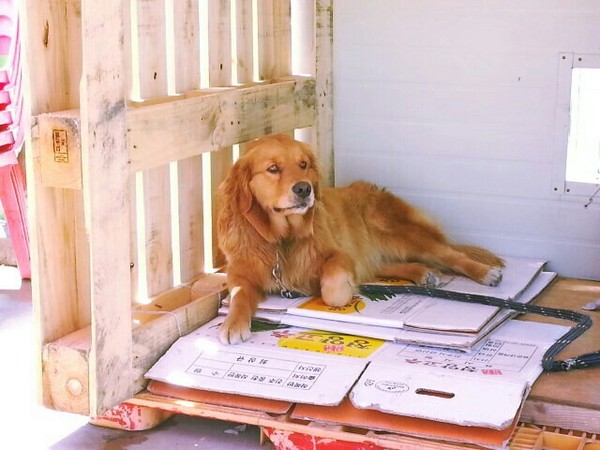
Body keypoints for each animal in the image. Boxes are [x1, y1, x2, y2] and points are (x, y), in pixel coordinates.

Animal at [217, 134, 504, 344]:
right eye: (273, 169)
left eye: (303, 165)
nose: (304, 189)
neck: (282, 240)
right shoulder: (239, 273)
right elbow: (239, 295)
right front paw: (233, 323)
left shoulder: (341, 254)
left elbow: (333, 288)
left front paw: (341, 290)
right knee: (383, 265)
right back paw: (423, 273)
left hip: (401, 234)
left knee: (453, 255)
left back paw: (485, 273)